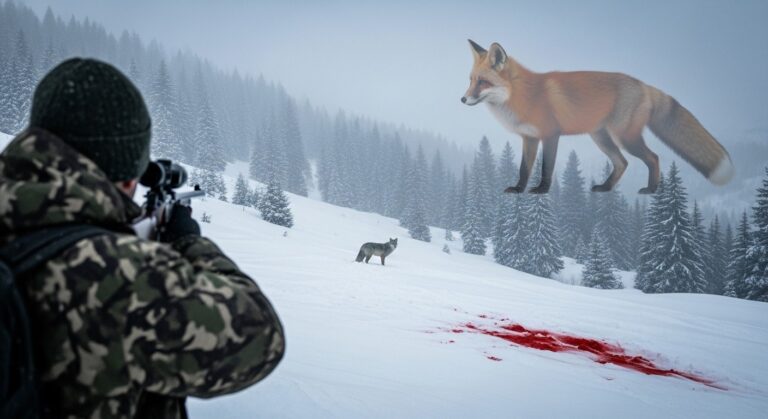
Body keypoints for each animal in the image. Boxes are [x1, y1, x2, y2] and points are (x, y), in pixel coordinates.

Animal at [461, 39, 733, 194]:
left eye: (483, 82)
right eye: (471, 80)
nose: (462, 100)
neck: (522, 95)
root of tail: (644, 85)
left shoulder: (550, 135)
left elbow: (547, 167)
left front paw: (541, 190)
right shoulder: (529, 138)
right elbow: (524, 169)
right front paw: (518, 189)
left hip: (625, 138)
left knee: (653, 158)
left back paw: (651, 190)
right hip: (601, 138)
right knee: (622, 163)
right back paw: (605, 188)